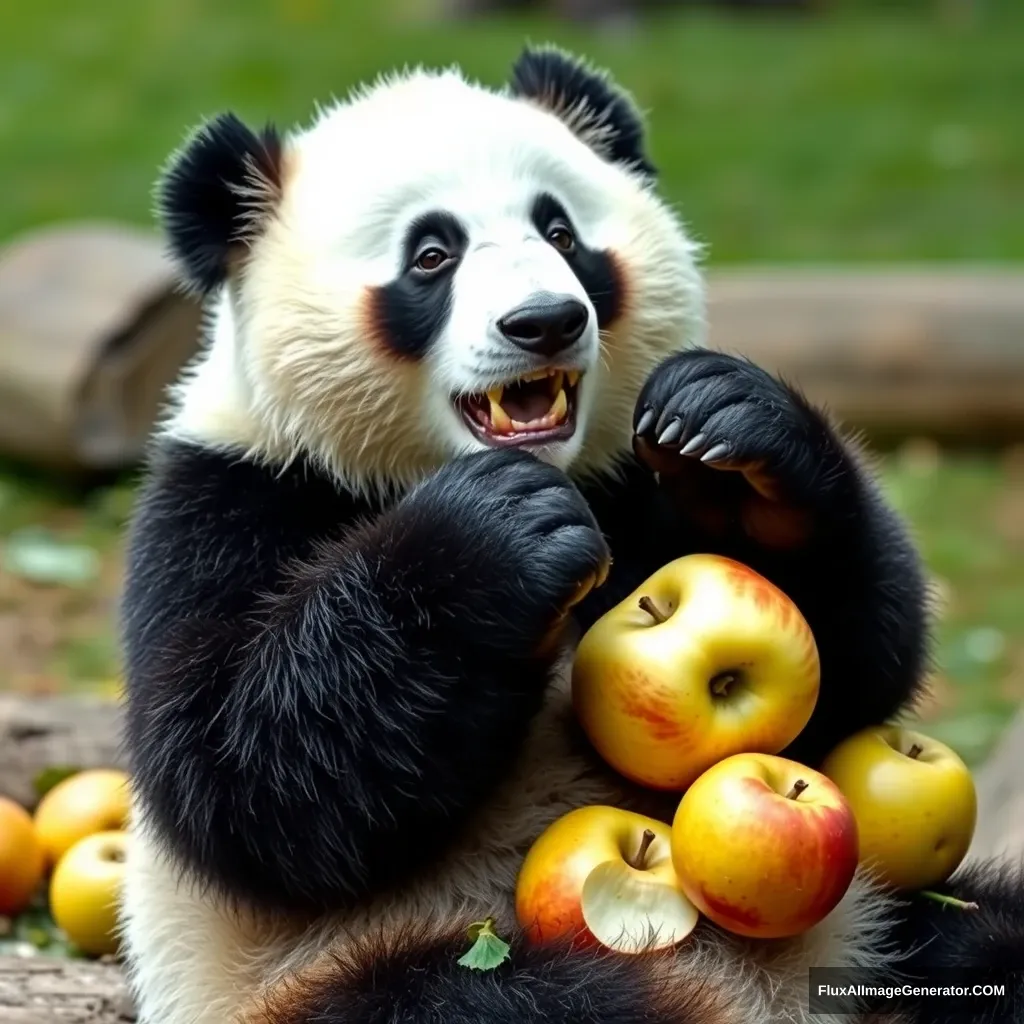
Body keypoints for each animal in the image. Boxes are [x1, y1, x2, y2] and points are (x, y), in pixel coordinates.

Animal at [117, 44, 1024, 1024]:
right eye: (431, 255)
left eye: (559, 231)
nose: (544, 321)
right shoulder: (235, 495)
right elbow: (244, 782)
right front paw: (493, 540)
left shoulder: (627, 485)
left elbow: (855, 678)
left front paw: (740, 443)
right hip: (336, 970)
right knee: (481, 1000)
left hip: (885, 914)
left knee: (977, 931)